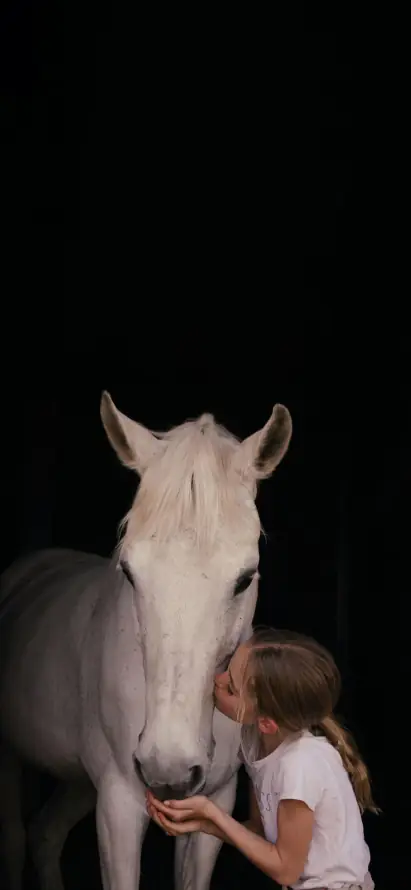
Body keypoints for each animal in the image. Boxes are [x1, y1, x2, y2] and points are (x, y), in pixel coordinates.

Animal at [0, 392, 292, 890]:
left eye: (245, 577)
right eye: (130, 572)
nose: (167, 769)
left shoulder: (212, 805)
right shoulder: (118, 804)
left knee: (44, 834)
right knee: (17, 839)